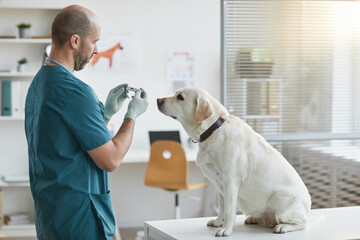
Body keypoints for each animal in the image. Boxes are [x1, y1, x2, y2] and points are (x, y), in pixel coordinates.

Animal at [158, 86, 312, 236]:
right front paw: (218, 222)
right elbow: (222, 207)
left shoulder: (230, 182)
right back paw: (254, 218)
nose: (158, 100)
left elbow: (229, 210)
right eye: (176, 94)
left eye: (180, 97)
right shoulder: (219, 186)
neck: (213, 130)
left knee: (302, 223)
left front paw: (226, 229)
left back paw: (283, 227)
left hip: (282, 203)